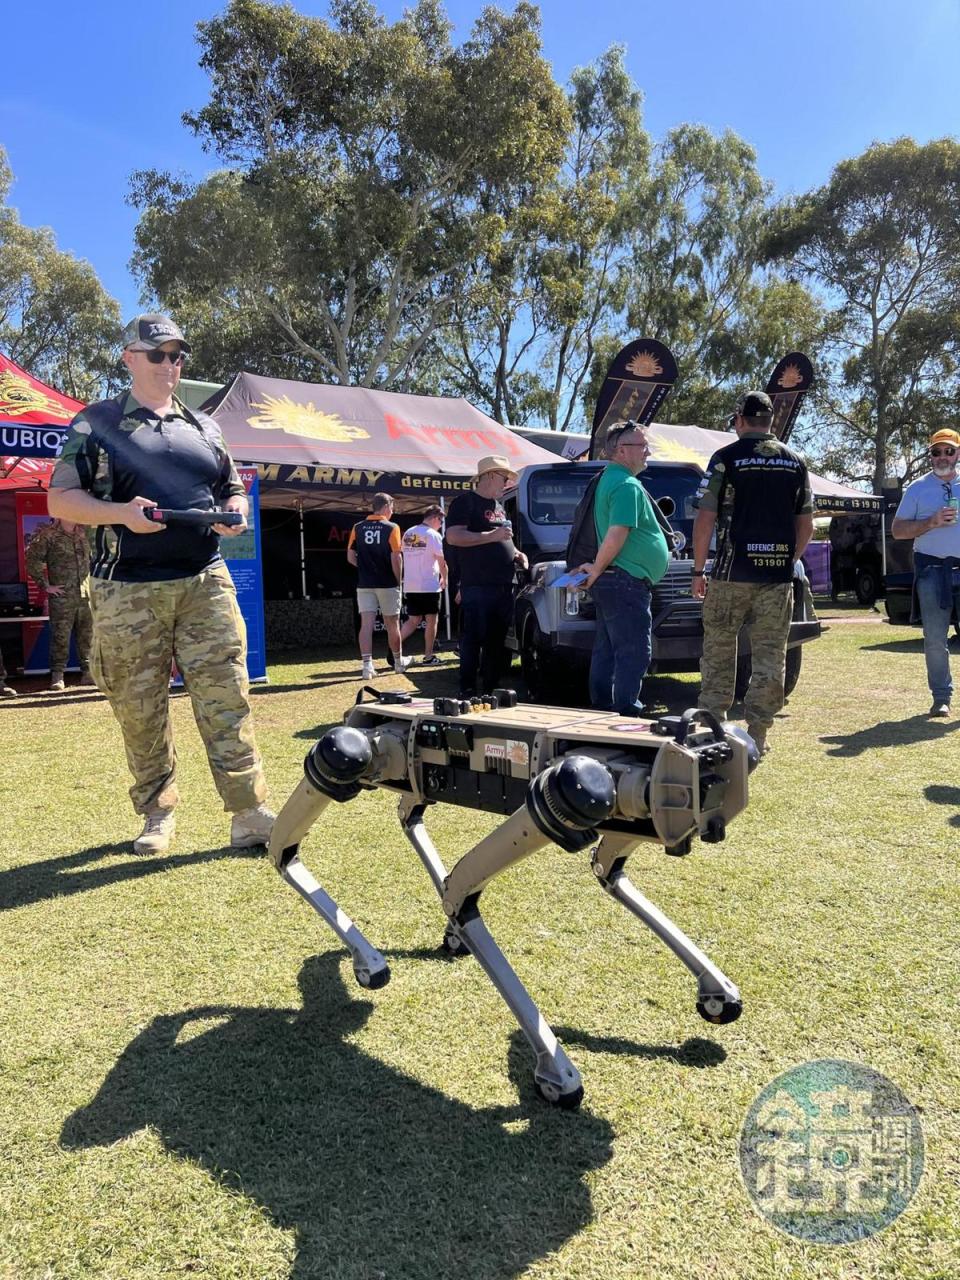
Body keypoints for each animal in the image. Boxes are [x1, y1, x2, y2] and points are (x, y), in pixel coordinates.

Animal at [271, 691, 757, 1111]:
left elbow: (600, 870)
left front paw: (716, 990)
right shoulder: (558, 797)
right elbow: (460, 890)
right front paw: (556, 1072)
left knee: (406, 817)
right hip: (356, 757)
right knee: (284, 845)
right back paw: (366, 957)